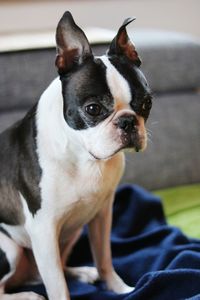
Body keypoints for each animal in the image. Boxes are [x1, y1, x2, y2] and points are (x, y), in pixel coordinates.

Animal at [0, 11, 152, 300]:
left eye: (146, 103)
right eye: (93, 109)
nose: (128, 122)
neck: (85, 158)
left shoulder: (102, 214)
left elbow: (104, 257)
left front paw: (118, 288)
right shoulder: (44, 230)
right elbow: (57, 287)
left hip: (72, 231)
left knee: (45, 271)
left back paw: (80, 272)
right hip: (11, 249)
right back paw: (28, 295)